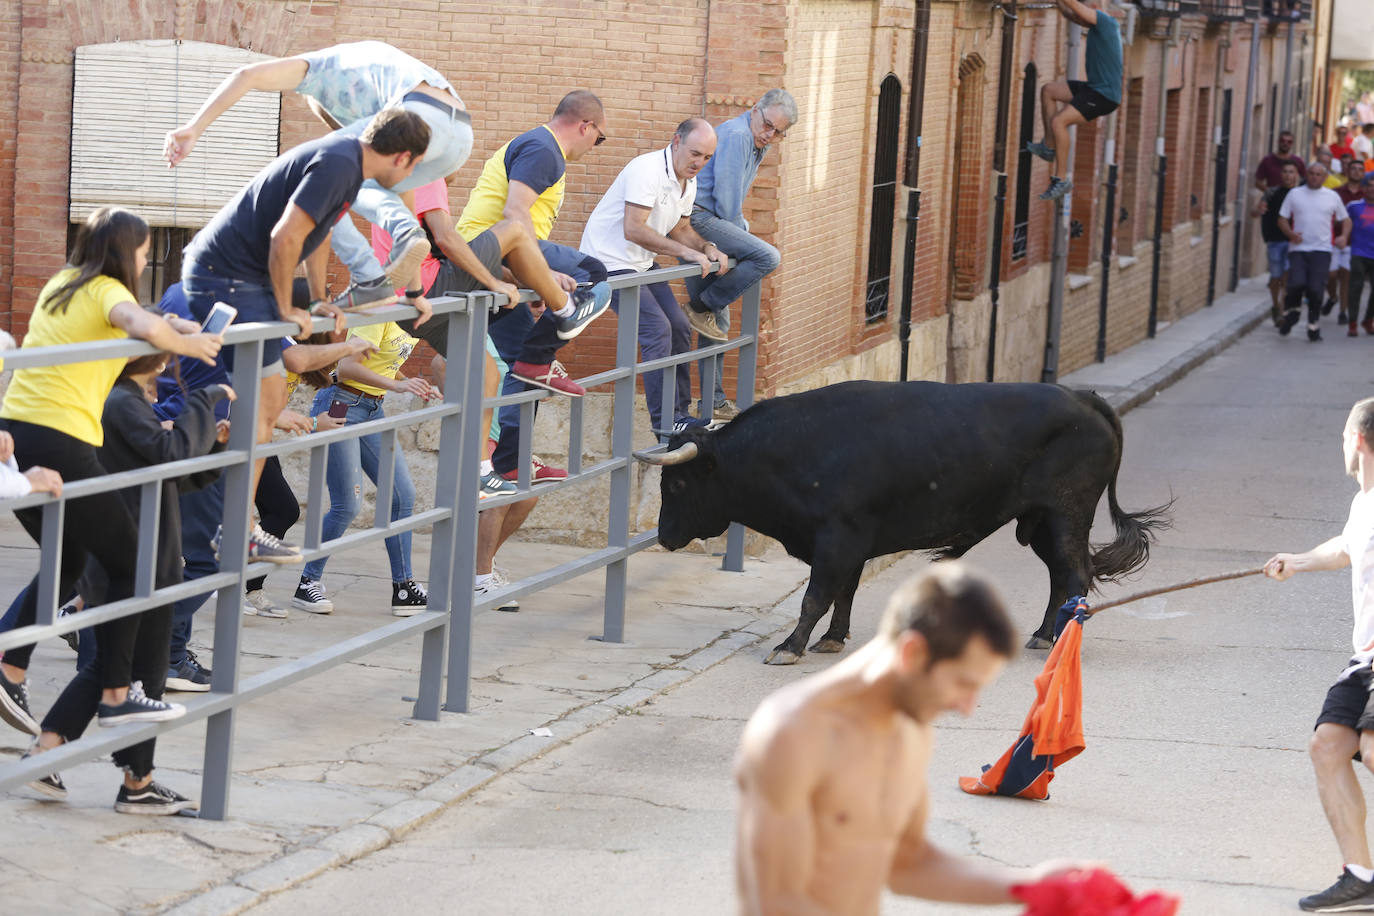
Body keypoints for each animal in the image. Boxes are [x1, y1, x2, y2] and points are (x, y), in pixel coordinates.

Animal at [632, 379, 1170, 667]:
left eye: (676, 485)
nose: (666, 536)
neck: (795, 450)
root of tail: (1080, 396)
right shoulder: (850, 544)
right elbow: (843, 593)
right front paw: (833, 639)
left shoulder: (837, 539)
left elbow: (815, 596)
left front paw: (790, 646)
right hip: (1038, 521)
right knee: (1062, 574)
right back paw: (1042, 634)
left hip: (1066, 513)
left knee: (1075, 572)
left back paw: (1058, 641)